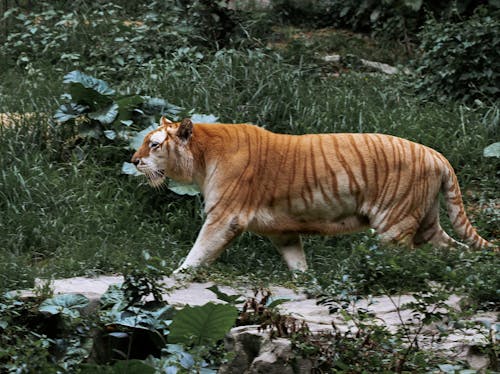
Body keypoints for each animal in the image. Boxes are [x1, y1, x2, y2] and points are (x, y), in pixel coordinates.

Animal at [130, 117, 492, 274]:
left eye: (154, 144)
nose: (133, 161)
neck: (202, 159)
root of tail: (436, 154)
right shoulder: (282, 230)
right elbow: (298, 263)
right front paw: (308, 283)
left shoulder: (224, 216)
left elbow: (199, 251)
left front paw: (176, 276)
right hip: (427, 224)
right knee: (454, 250)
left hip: (394, 224)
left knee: (403, 260)